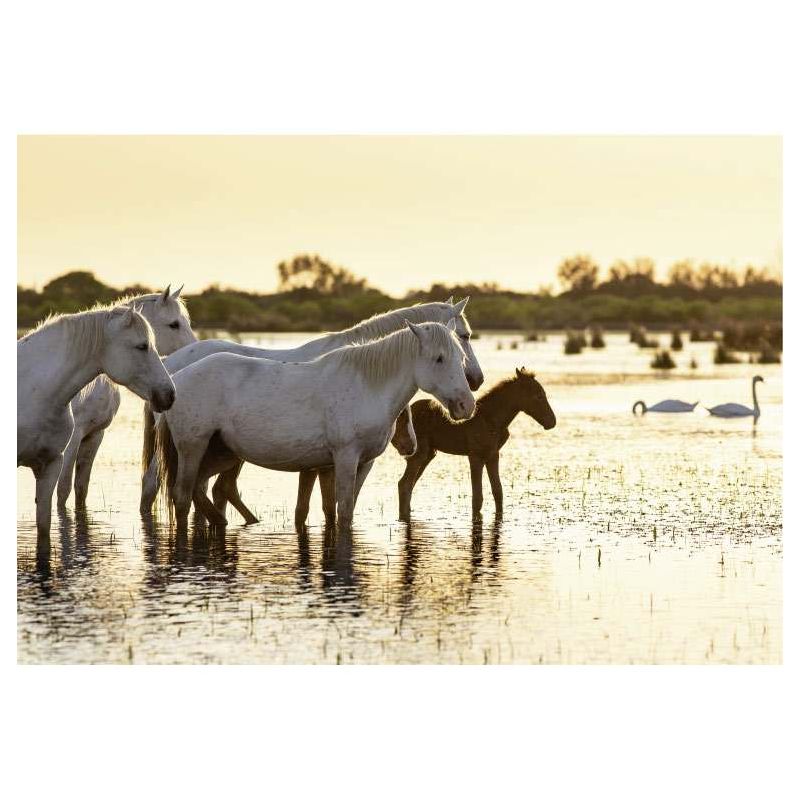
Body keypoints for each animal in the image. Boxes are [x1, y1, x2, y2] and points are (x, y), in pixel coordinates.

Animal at [55, 284, 195, 506]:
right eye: (174, 324)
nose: (195, 347)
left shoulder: (94, 435)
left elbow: (81, 487)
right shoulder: (74, 438)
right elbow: (63, 489)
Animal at [139, 296, 482, 520]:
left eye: (461, 346)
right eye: (441, 357)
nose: (468, 399)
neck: (366, 383)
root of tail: (175, 374)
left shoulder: (336, 464)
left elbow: (326, 509)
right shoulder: (343, 459)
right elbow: (340, 512)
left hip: (221, 453)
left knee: (204, 491)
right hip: (192, 447)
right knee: (178, 494)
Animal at [396, 368, 552, 520]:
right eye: (538, 396)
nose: (552, 421)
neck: (494, 420)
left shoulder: (493, 455)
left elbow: (498, 491)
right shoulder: (475, 456)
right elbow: (477, 498)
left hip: (428, 454)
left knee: (408, 484)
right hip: (419, 453)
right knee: (405, 484)